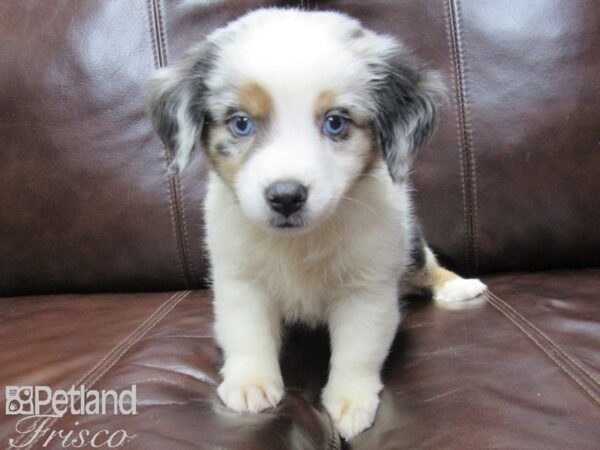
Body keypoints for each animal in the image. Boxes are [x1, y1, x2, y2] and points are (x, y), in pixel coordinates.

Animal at [148, 7, 486, 440]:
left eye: (336, 122)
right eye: (241, 123)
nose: (286, 196)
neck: (301, 243)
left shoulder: (368, 287)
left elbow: (358, 349)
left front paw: (350, 403)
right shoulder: (239, 278)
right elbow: (247, 332)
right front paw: (250, 384)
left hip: (409, 243)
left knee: (427, 265)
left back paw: (459, 286)